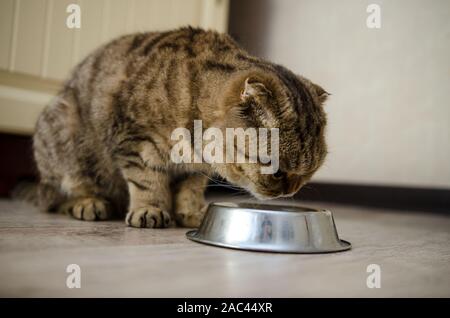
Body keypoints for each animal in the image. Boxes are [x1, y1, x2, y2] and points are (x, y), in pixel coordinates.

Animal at [32, 26, 326, 227]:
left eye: (308, 173)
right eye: (276, 171)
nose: (291, 191)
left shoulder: (196, 168)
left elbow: (190, 189)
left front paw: (191, 212)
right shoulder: (135, 142)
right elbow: (147, 180)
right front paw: (150, 209)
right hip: (64, 135)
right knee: (58, 196)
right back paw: (88, 203)